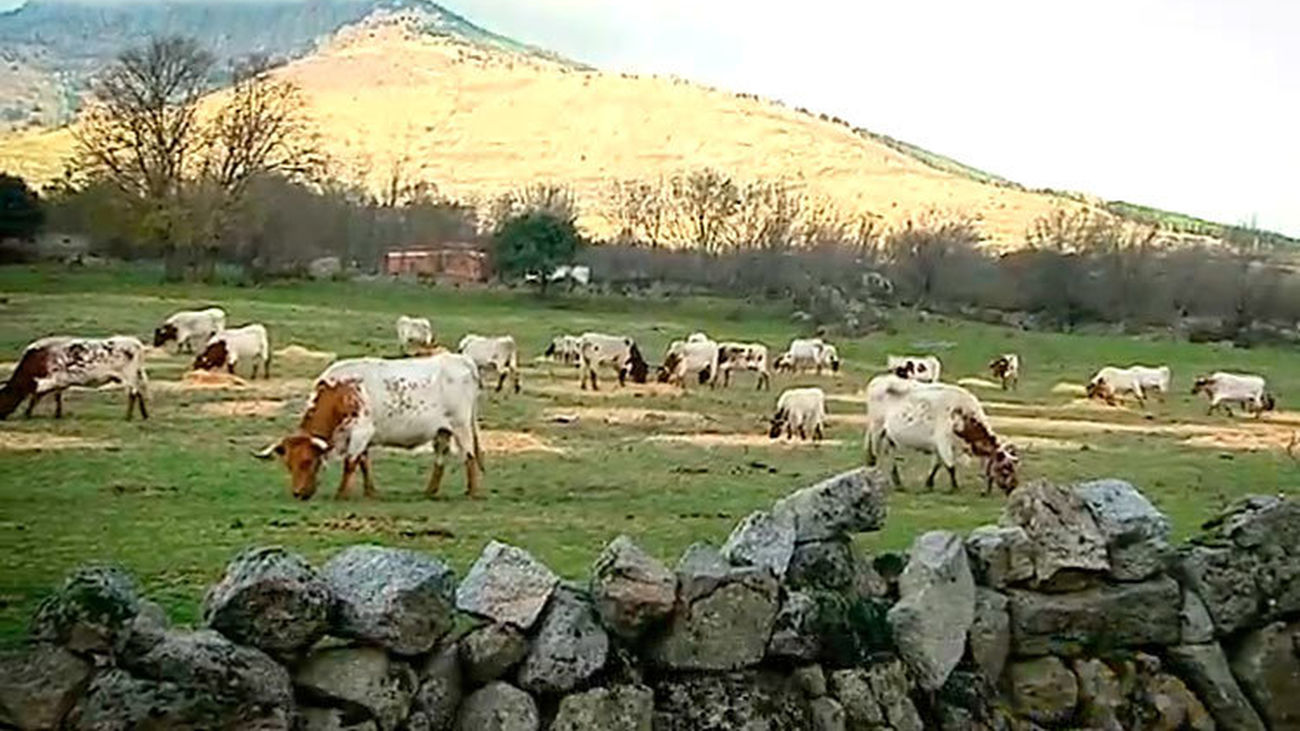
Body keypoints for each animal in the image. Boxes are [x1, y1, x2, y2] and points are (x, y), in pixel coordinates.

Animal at [0, 336, 149, 420]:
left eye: (2, 397)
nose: (1, 417)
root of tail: (136, 343)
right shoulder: (59, 382)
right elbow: (56, 397)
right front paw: (57, 414)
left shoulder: (52, 379)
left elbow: (36, 396)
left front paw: (27, 414)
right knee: (139, 393)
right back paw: (144, 415)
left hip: (129, 376)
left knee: (133, 394)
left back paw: (128, 417)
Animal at [254, 353, 483, 500]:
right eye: (289, 464)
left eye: (308, 461)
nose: (297, 493)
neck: (340, 393)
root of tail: (462, 360)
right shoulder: (362, 438)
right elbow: (364, 463)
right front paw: (370, 492)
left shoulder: (360, 432)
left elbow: (350, 463)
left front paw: (341, 494)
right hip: (442, 431)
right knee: (440, 458)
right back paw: (430, 491)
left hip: (461, 425)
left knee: (469, 455)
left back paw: (472, 492)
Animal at [865, 374, 1018, 494]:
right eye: (1005, 469)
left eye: (1014, 467)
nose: (1013, 487)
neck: (962, 416)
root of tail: (878, 380)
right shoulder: (943, 442)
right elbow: (950, 466)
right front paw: (955, 488)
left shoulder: (939, 446)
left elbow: (937, 465)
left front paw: (929, 483)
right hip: (876, 429)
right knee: (873, 454)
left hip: (889, 436)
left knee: (891, 456)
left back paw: (898, 483)